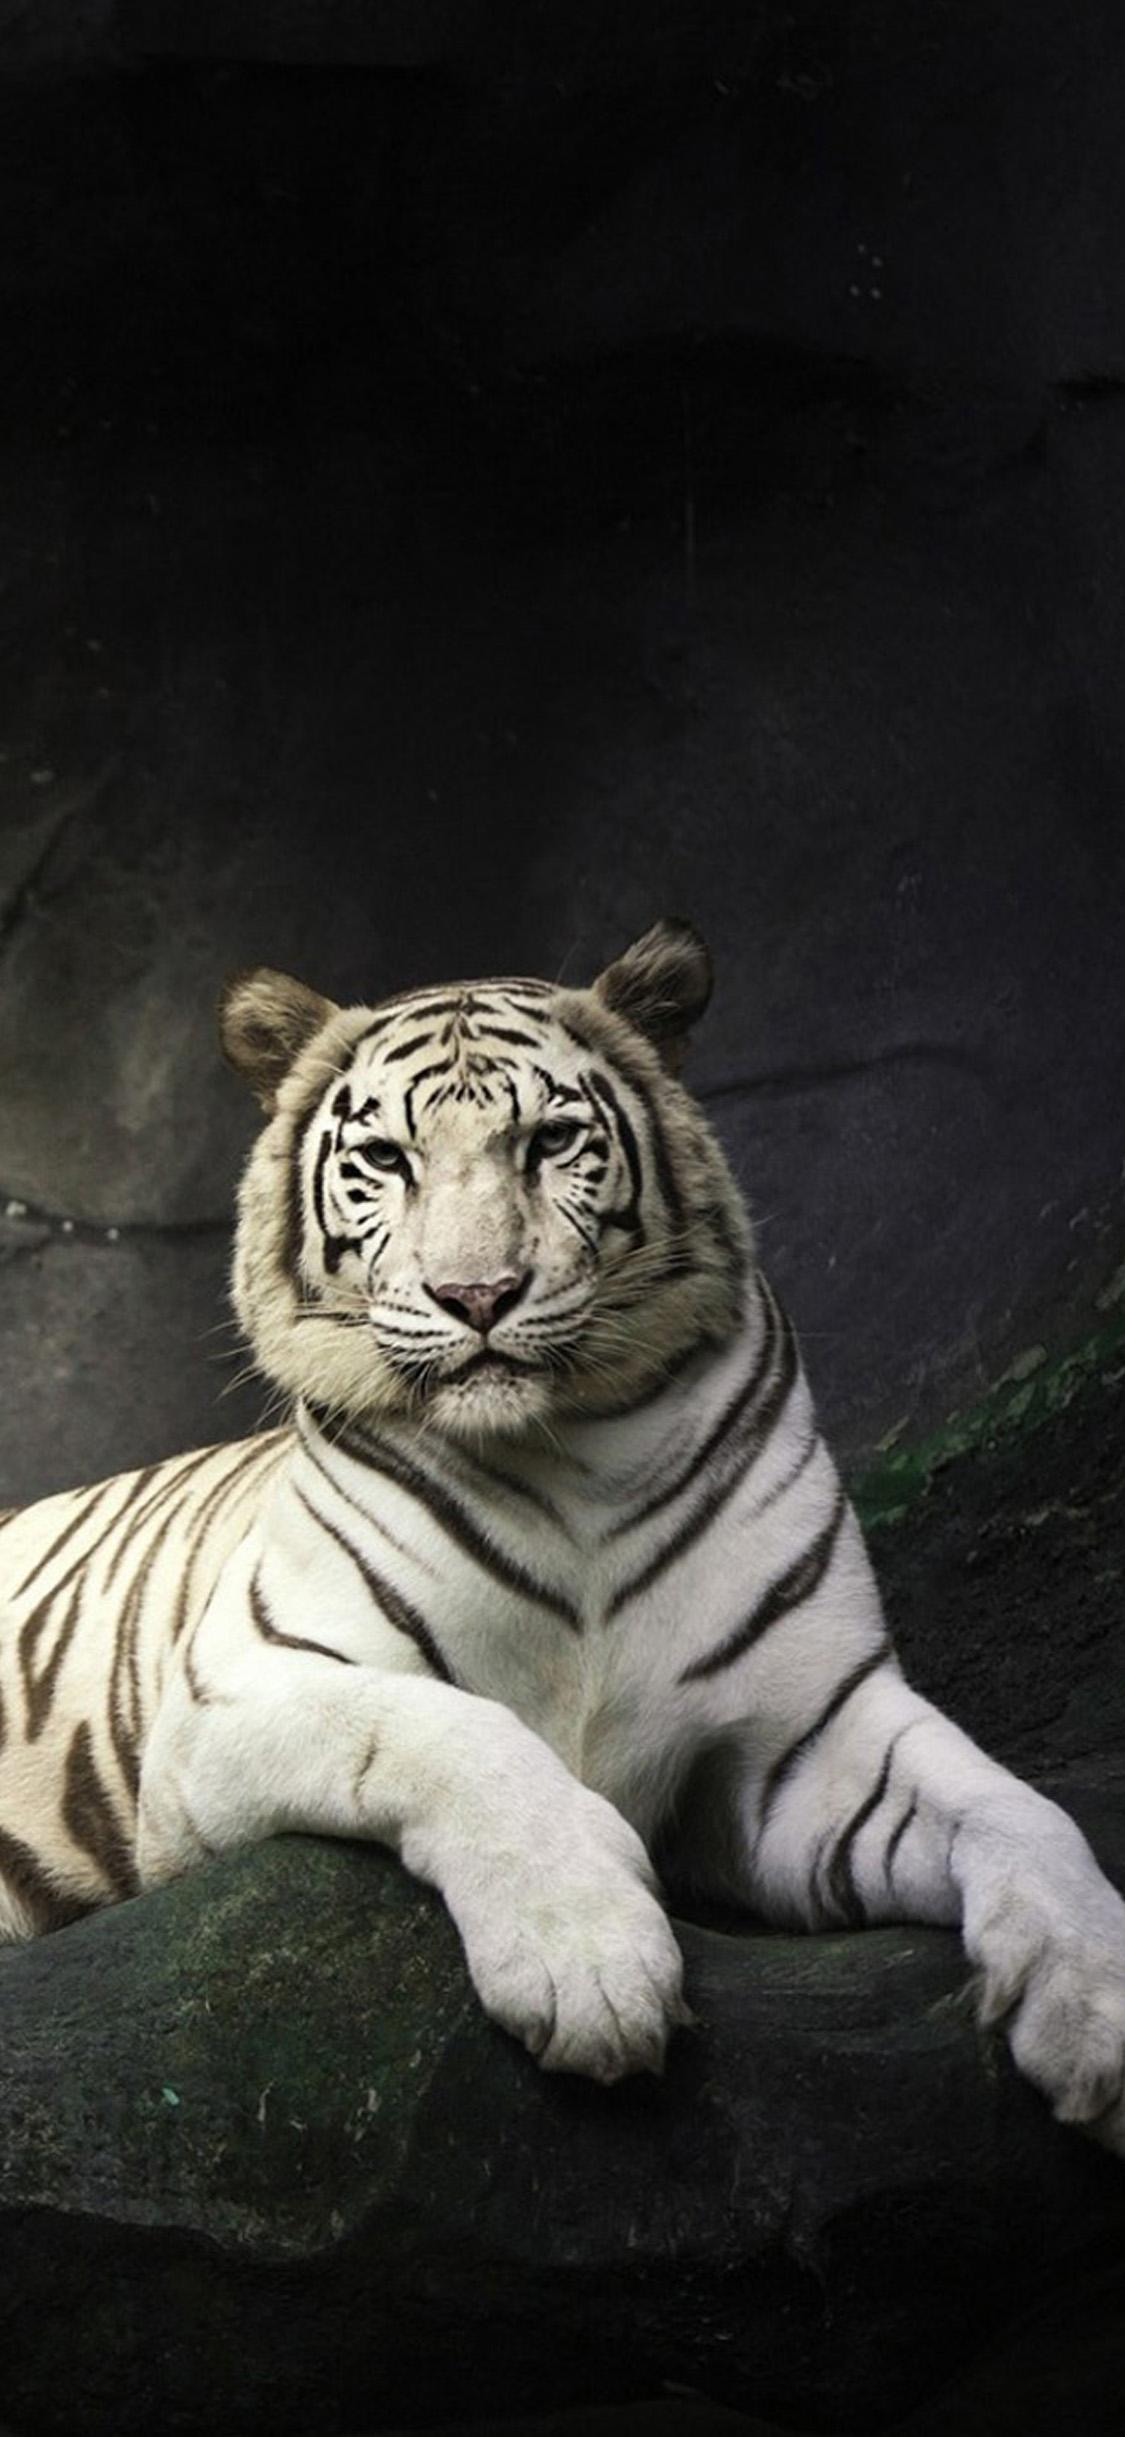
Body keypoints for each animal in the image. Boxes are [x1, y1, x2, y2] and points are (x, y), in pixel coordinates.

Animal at [1, 916, 1123, 2148]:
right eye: (385, 1159)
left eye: (549, 1141)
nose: (477, 1294)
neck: (573, 1458)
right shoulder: (233, 1698)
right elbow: (456, 1732)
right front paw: (588, 1962)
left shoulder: (810, 1735)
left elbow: (1015, 1810)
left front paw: (1097, 2010)